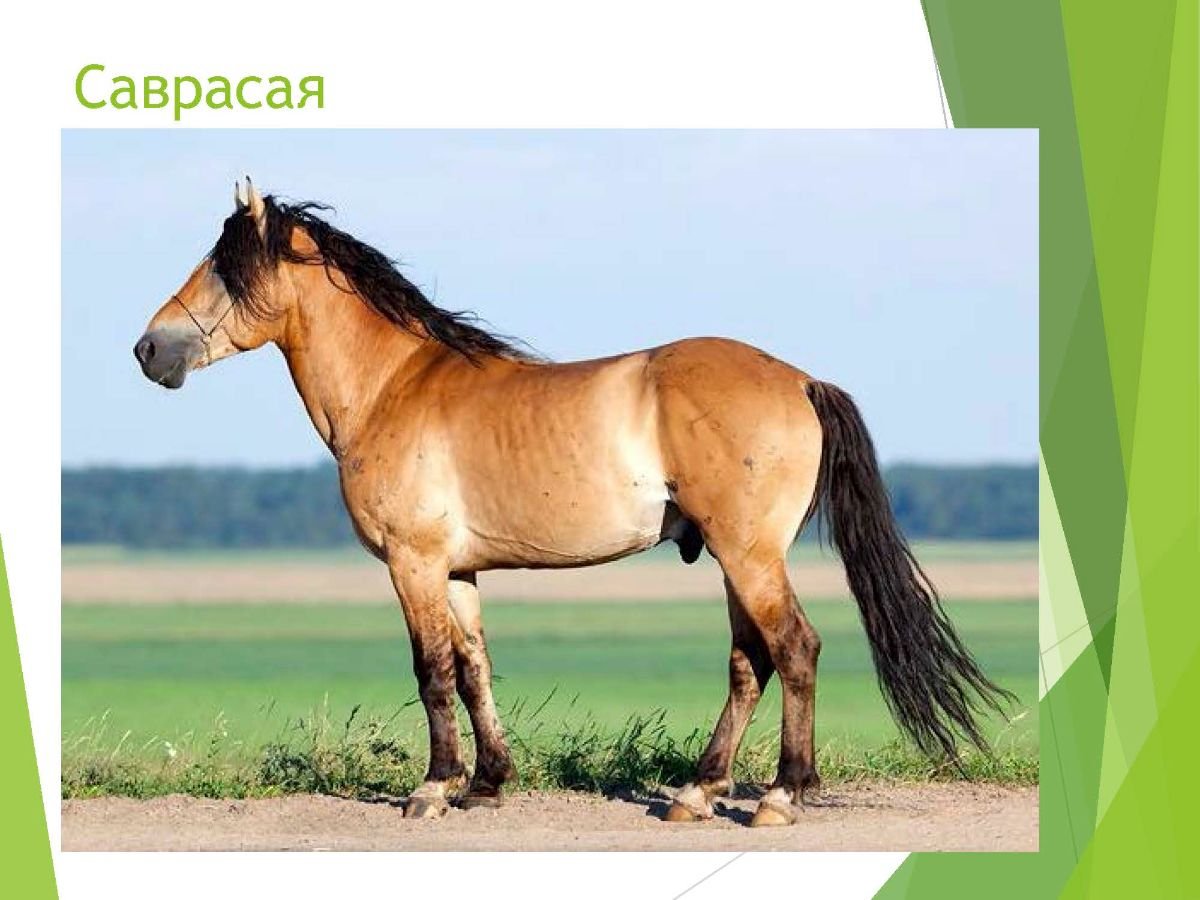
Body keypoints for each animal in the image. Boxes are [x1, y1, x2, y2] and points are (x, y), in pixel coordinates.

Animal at [133, 179, 1011, 827]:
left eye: (222, 264)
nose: (149, 349)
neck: (394, 387)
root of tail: (798, 379)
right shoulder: (457, 571)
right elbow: (475, 668)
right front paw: (487, 783)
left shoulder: (414, 564)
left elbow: (431, 672)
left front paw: (432, 788)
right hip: (741, 558)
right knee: (749, 662)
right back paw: (697, 793)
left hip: (748, 553)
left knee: (793, 649)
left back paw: (780, 796)